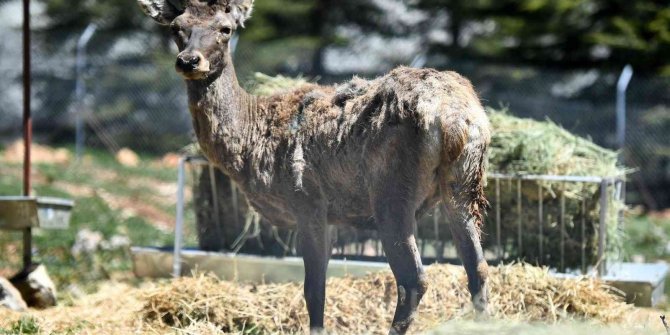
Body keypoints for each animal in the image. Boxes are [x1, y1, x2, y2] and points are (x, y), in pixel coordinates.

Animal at [138, 0, 494, 334]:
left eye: (225, 29)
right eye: (176, 27)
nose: (189, 61)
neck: (250, 140)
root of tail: (454, 118)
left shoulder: (306, 200)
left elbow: (314, 290)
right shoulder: (332, 215)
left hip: (392, 192)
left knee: (414, 279)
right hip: (465, 183)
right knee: (478, 268)